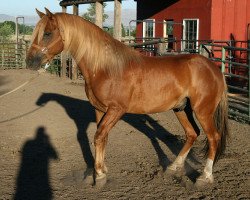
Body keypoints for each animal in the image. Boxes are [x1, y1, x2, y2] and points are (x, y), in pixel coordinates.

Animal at [25, 8, 229, 188]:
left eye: (47, 33)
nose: (29, 62)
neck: (106, 67)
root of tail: (214, 69)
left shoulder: (116, 110)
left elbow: (99, 136)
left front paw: (99, 176)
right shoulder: (100, 110)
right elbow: (102, 137)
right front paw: (101, 170)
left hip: (203, 111)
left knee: (213, 138)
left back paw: (204, 177)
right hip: (181, 109)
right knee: (192, 134)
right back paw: (173, 167)